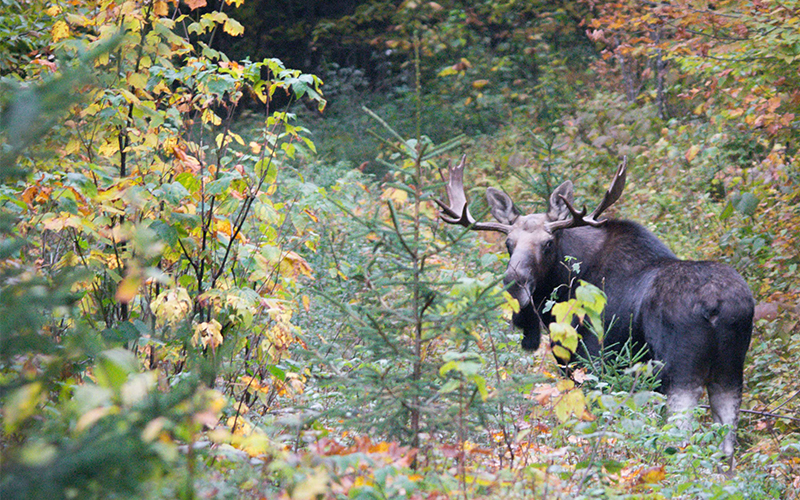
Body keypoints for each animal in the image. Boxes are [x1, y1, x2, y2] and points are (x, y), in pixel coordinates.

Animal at [436, 155, 754, 457]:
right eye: (508, 243)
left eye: (548, 243)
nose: (515, 284)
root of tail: (716, 306)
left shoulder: (588, 361)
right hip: (729, 372)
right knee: (726, 446)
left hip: (679, 370)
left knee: (680, 438)